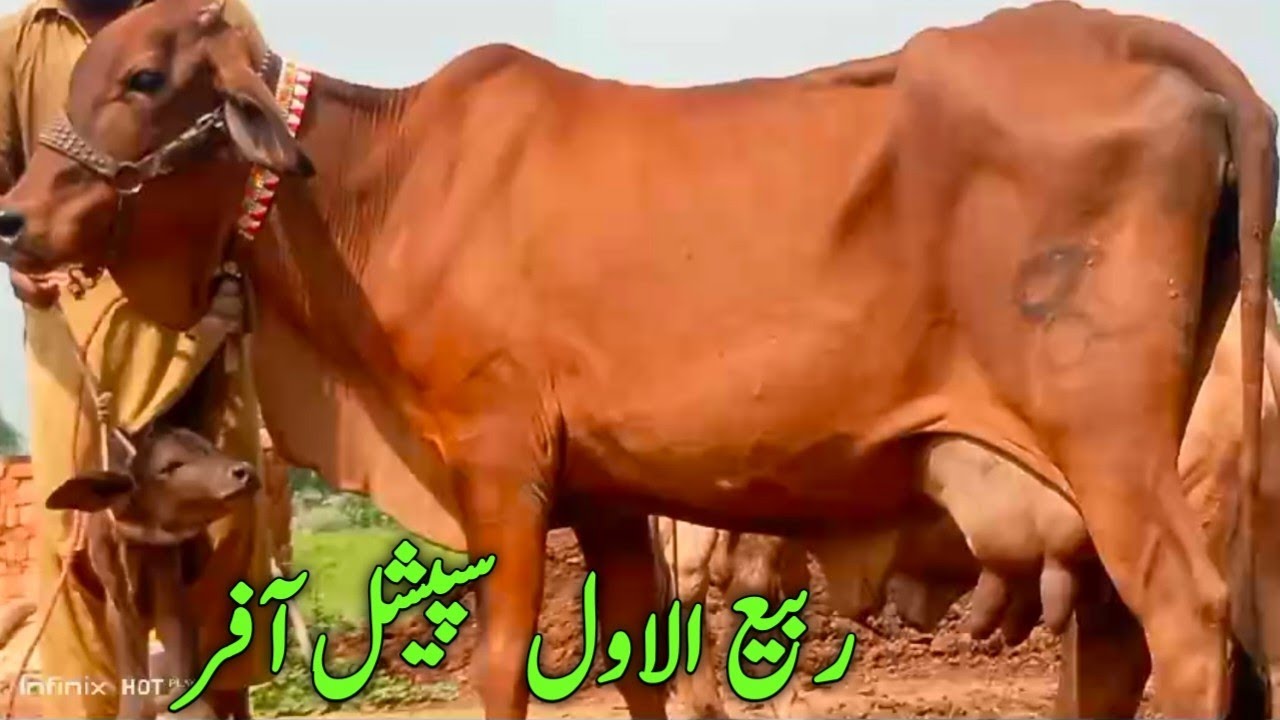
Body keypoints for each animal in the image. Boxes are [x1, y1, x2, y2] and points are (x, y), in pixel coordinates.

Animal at [0, 1, 1275, 716]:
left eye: (145, 80)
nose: (14, 218)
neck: (381, 188)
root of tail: (1128, 32)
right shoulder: (606, 496)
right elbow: (636, 663)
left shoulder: (502, 464)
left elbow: (500, 664)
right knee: (1117, 647)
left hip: (1112, 451)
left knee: (1186, 620)